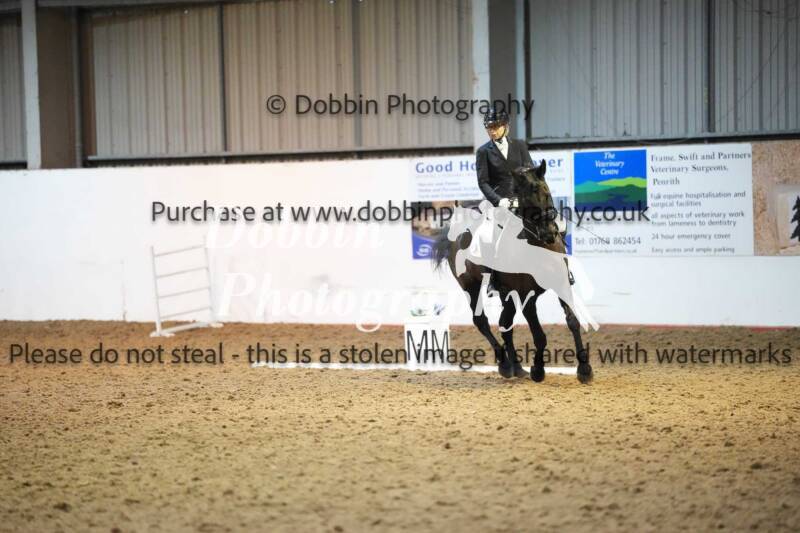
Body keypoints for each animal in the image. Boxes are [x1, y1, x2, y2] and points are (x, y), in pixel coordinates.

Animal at [432, 160, 593, 384]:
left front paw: (584, 369)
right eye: (525, 198)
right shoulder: (527, 296)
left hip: (505, 292)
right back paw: (505, 365)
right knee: (481, 321)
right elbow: (539, 335)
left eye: (546, 192)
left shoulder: (561, 284)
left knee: (505, 324)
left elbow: (573, 322)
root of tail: (455, 234)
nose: (549, 234)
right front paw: (538, 370)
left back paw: (517, 367)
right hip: (471, 286)